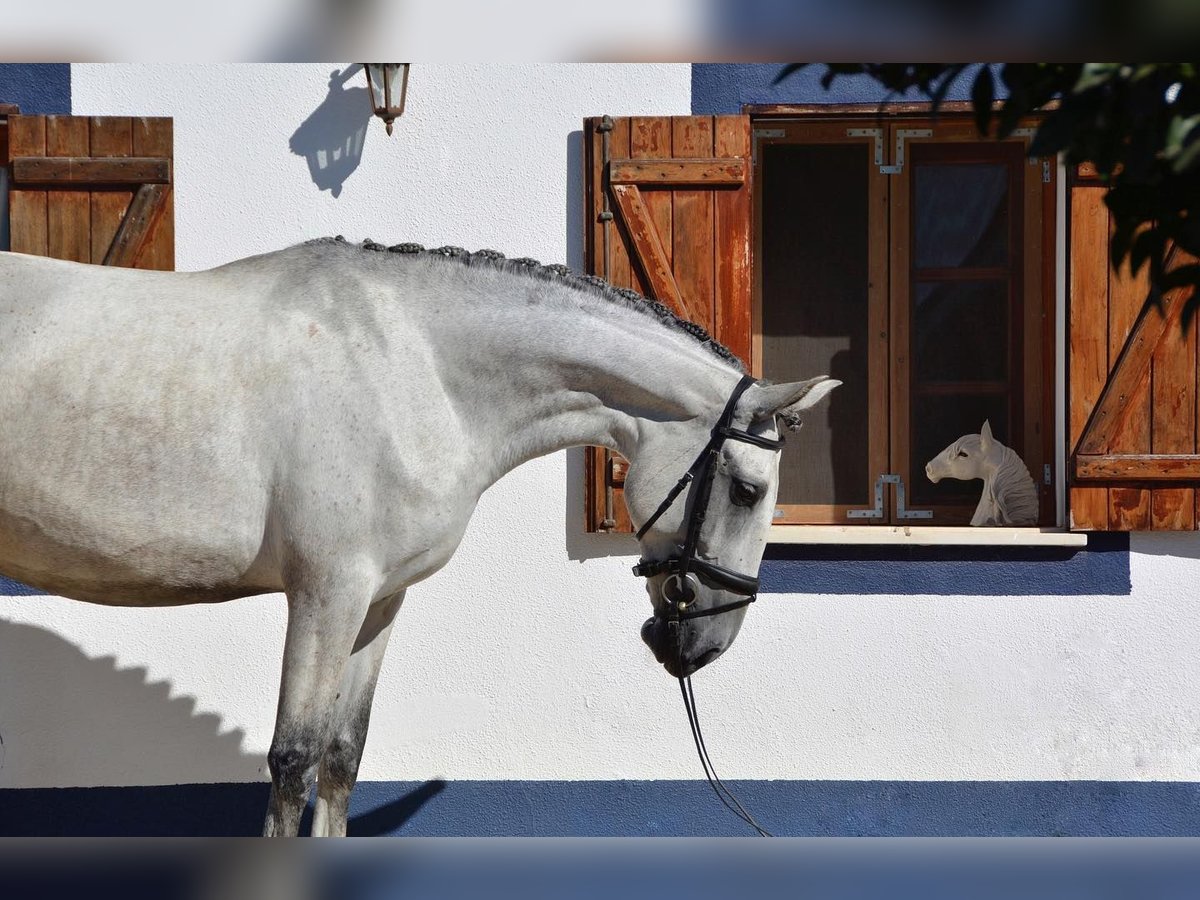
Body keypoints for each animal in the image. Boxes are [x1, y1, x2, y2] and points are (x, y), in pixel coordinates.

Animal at [0, 240, 840, 840]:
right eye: (747, 490)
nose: (704, 644)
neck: (414, 367)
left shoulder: (380, 598)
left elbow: (341, 758)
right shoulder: (327, 593)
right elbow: (293, 760)